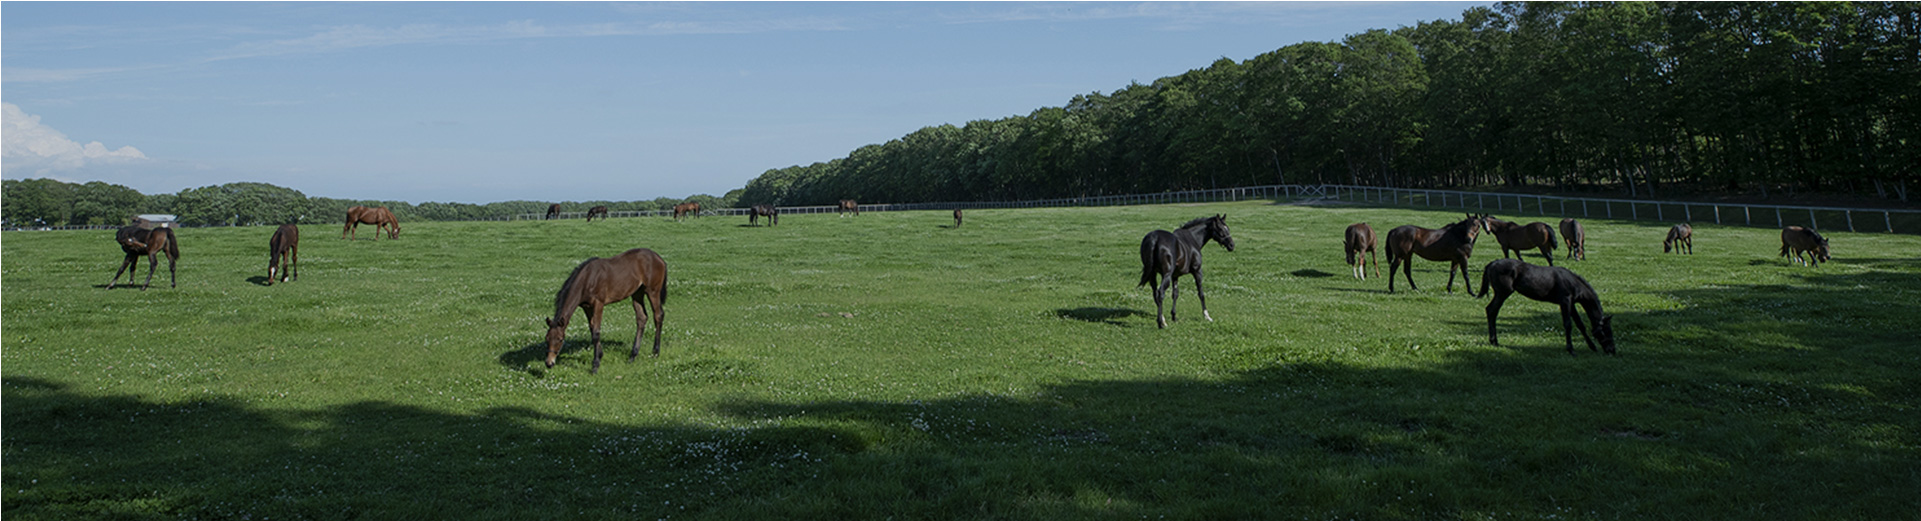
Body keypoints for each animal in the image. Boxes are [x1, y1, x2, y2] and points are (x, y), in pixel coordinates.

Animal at [1475, 259, 1613, 357]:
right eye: (1607, 331)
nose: (1613, 351)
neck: (1573, 283)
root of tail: (1491, 264)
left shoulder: (1571, 303)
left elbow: (1580, 324)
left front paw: (1592, 346)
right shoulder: (1564, 301)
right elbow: (1568, 324)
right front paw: (1571, 350)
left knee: (1491, 311)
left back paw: (1494, 341)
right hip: (1503, 292)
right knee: (1491, 310)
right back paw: (1494, 341)